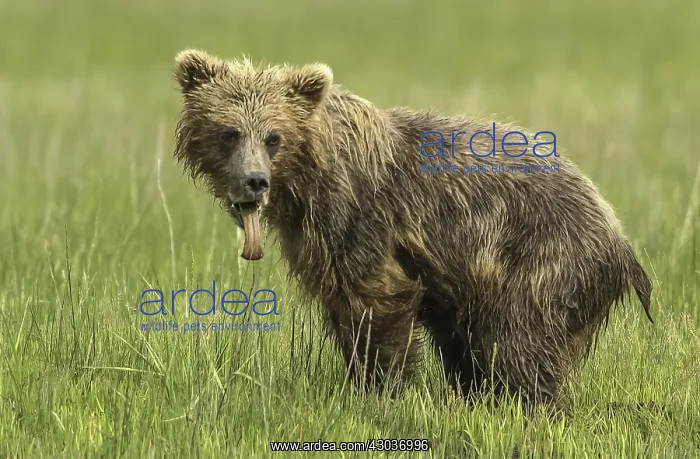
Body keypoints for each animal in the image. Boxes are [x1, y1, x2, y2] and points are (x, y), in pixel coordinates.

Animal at [172, 49, 653, 413]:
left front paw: (381, 388)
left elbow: (376, 301)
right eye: (229, 133)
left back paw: (528, 404)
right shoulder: (314, 239)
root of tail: (621, 239)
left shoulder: (362, 218)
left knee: (516, 341)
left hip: (539, 258)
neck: (309, 176)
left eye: (274, 136)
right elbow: (342, 304)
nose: (254, 181)